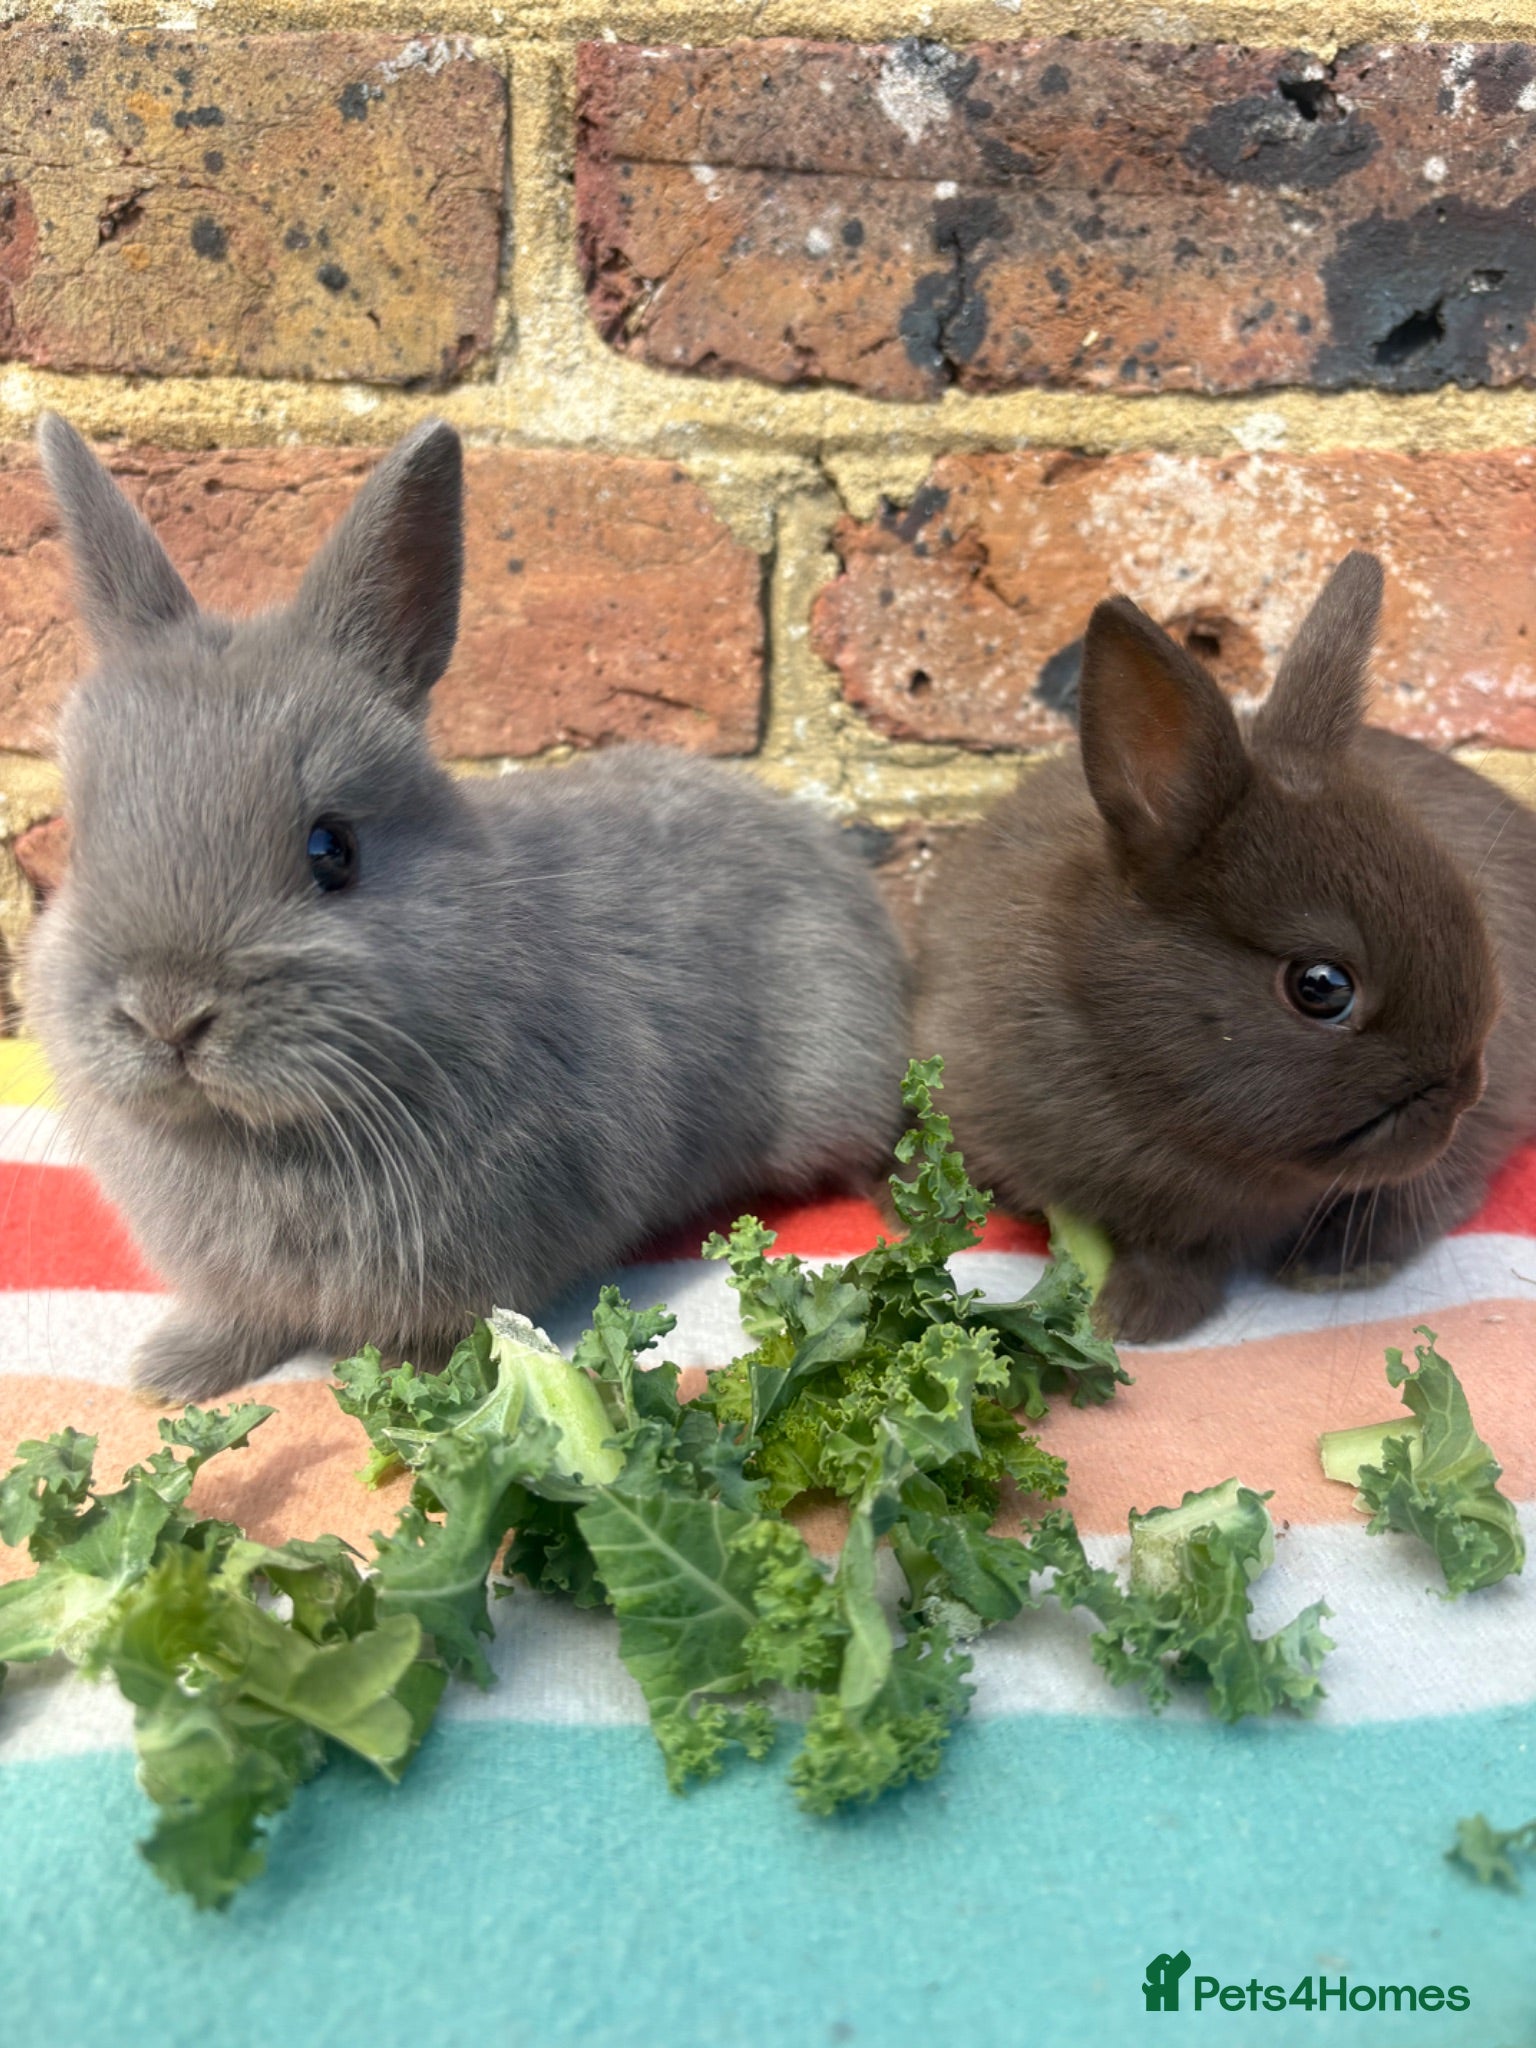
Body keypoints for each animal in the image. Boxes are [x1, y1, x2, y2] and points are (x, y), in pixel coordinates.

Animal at [26, 414, 910, 1401]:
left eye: (332, 850)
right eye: (76, 843)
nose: (168, 1014)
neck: (260, 1137)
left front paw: (408, 1386)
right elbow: (242, 1319)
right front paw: (171, 1374)